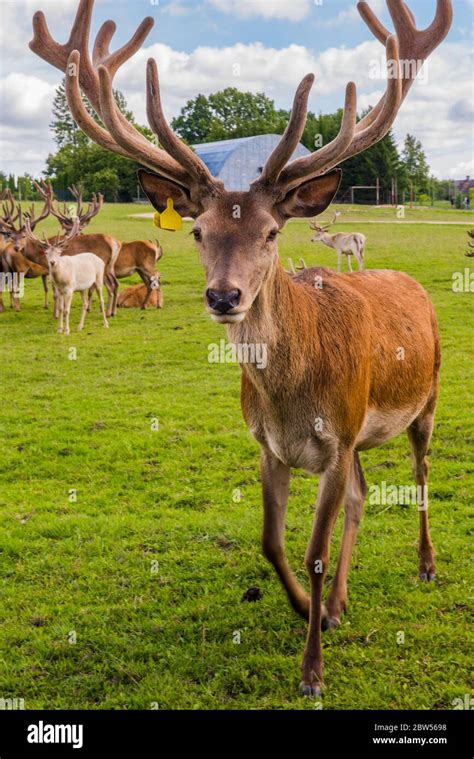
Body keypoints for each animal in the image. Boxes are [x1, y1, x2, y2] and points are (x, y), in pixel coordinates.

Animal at [29, 0, 452, 696]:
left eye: (273, 231)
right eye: (198, 230)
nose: (224, 296)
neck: (290, 398)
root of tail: (411, 281)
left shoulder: (337, 436)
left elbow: (312, 552)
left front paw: (312, 671)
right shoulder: (273, 445)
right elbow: (272, 544)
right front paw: (313, 611)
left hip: (427, 398)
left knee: (418, 474)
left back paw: (425, 563)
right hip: (361, 438)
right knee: (363, 497)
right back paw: (341, 602)